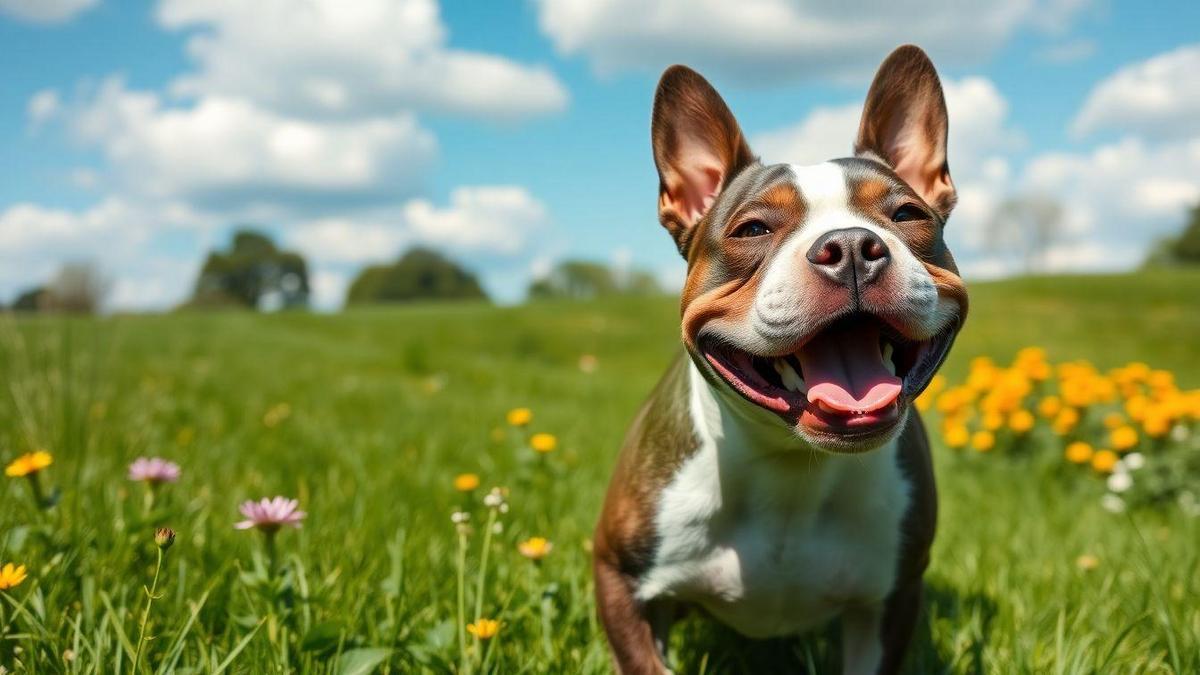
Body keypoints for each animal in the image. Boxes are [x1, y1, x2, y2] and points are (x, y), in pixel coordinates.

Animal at [595, 44, 969, 667]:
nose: (851, 246)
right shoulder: (621, 581)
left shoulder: (891, 601)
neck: (790, 463)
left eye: (907, 216)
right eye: (752, 229)